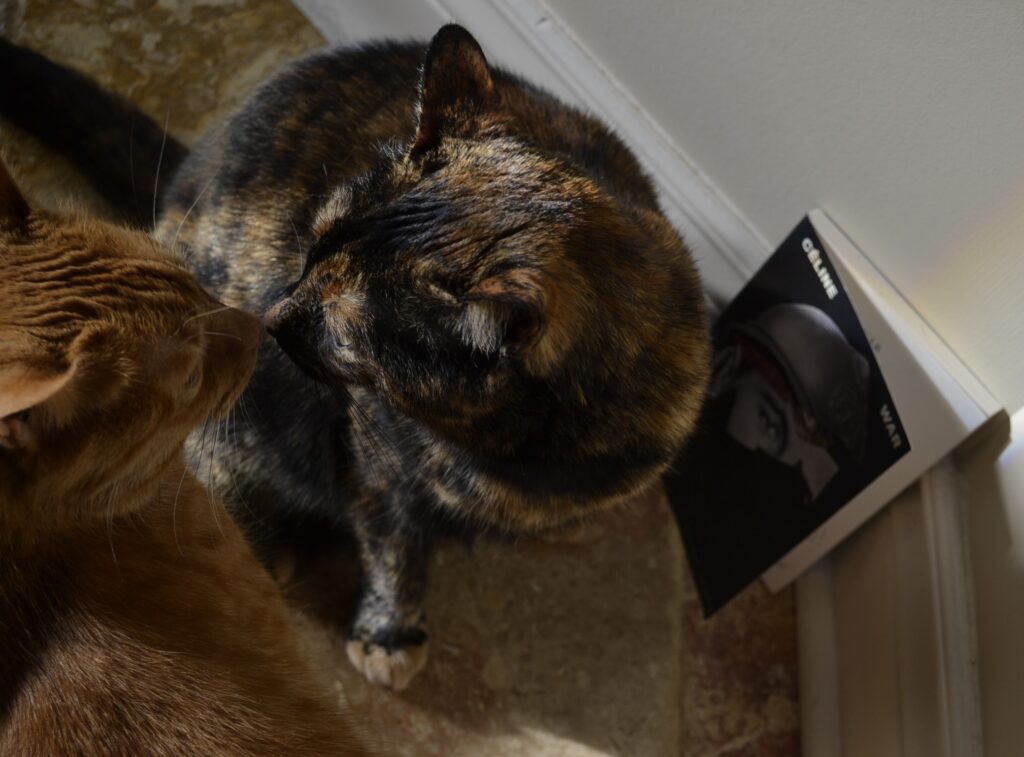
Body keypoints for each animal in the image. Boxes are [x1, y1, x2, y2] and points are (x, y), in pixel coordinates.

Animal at [0, 25, 708, 692]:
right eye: (311, 249)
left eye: (345, 331)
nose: (270, 317)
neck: (508, 453)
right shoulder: (379, 461)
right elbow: (395, 546)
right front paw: (389, 633)